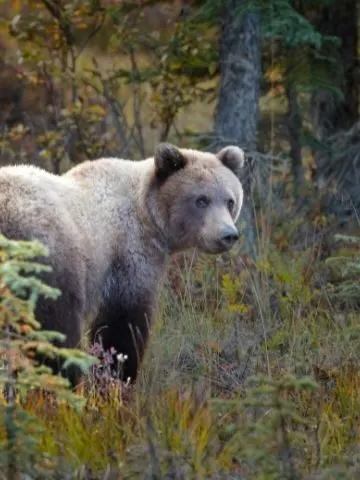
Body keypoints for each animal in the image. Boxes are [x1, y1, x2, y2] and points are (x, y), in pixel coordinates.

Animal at [0, 142, 245, 386]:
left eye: (230, 201)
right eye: (201, 200)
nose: (228, 235)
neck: (148, 217)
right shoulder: (127, 255)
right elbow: (122, 323)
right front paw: (117, 375)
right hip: (49, 262)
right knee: (54, 330)